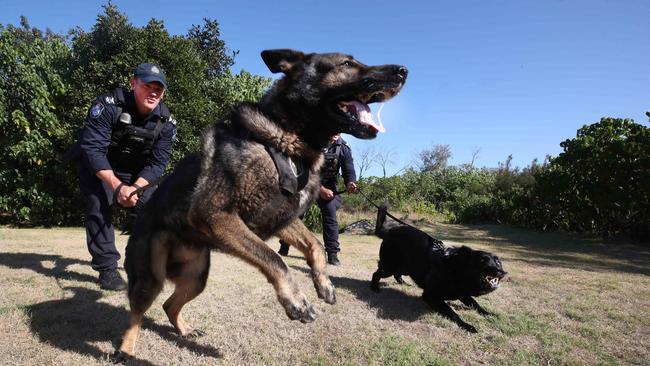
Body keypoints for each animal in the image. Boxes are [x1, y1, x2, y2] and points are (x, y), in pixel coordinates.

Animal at [114, 50, 402, 356]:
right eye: (347, 64)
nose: (403, 71)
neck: (286, 142)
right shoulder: (216, 214)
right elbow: (275, 258)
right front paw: (296, 301)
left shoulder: (280, 217)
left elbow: (315, 245)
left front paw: (323, 283)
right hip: (150, 278)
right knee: (137, 312)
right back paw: (127, 350)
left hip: (196, 277)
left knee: (169, 304)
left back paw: (185, 330)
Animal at [368, 204, 504, 334]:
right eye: (482, 261)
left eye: (498, 262)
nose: (500, 272)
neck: (454, 270)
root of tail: (389, 231)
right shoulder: (431, 296)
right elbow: (452, 312)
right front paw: (467, 325)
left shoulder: (462, 293)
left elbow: (476, 304)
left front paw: (488, 314)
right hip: (389, 266)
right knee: (376, 274)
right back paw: (374, 288)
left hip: (406, 266)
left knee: (397, 274)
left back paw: (403, 283)